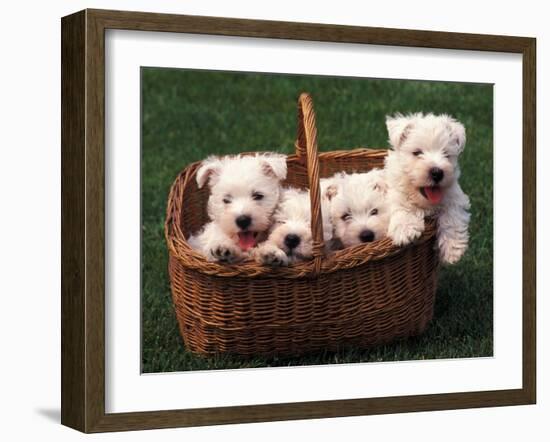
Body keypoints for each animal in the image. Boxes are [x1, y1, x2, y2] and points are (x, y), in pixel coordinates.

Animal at [386, 114, 472, 266]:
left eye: (446, 154)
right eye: (417, 152)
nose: (437, 172)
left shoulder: (454, 196)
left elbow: (452, 216)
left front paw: (452, 250)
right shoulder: (395, 192)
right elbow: (402, 205)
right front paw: (406, 230)